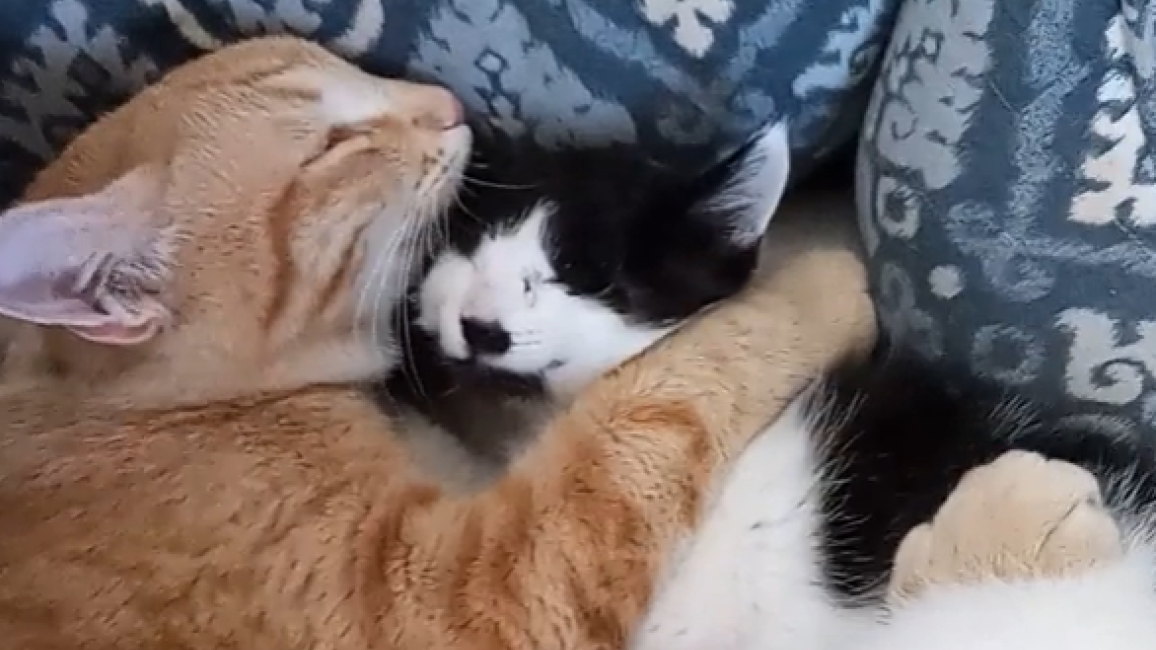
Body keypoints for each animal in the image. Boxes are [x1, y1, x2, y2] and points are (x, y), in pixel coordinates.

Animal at [0, 36, 869, 647]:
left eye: (584, 274)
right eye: (333, 144)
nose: (448, 103)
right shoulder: (450, 597)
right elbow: (660, 405)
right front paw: (825, 284)